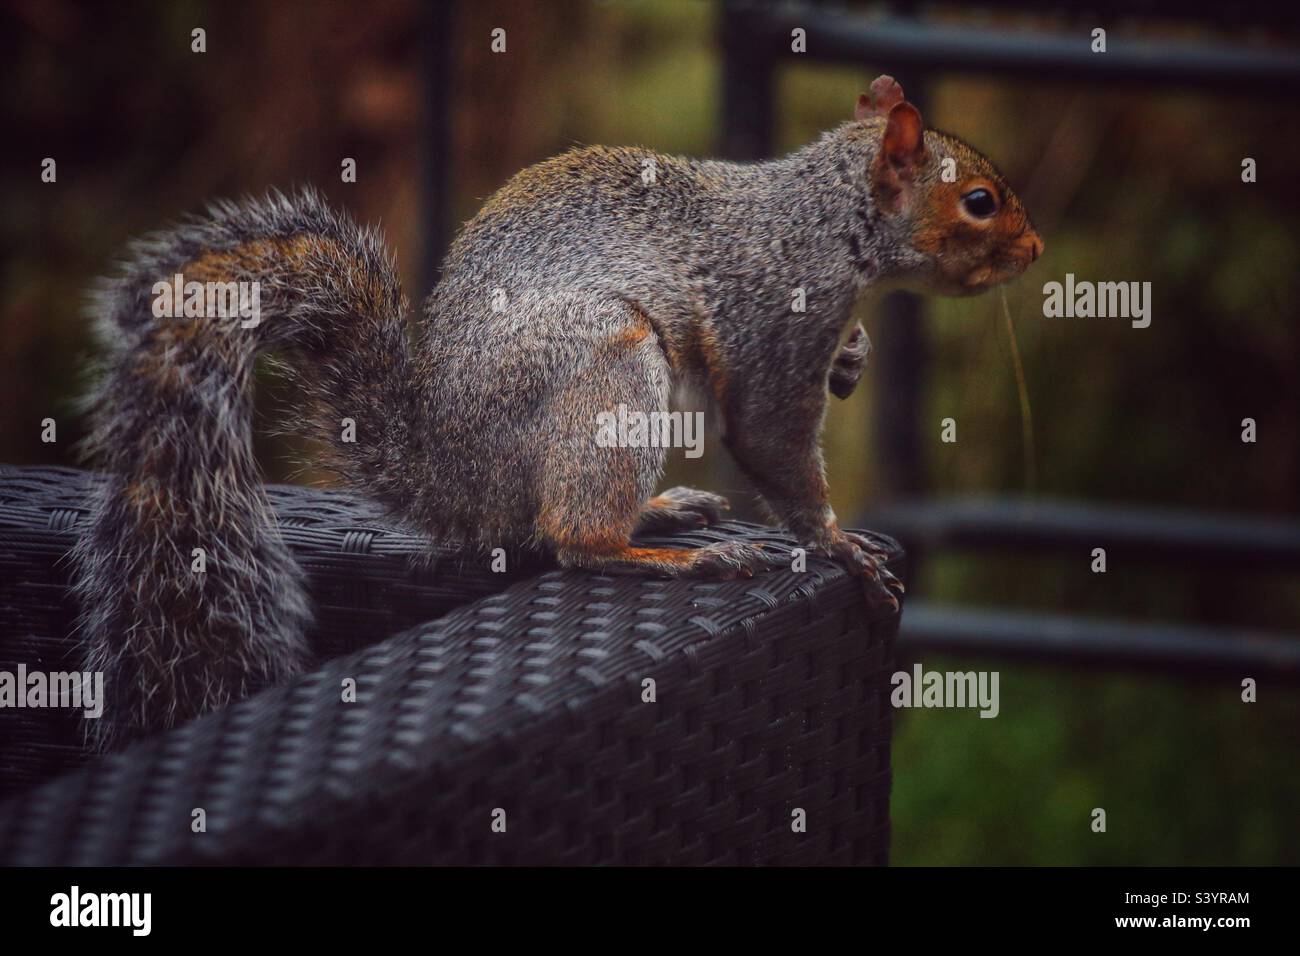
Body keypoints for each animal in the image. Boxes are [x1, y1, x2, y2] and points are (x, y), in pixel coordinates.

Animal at [72, 76, 1042, 748]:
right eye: (979, 202)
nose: (1035, 248)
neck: (824, 222)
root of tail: (448, 472)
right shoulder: (773, 324)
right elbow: (774, 444)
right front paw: (840, 547)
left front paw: (856, 358)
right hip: (608, 369)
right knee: (573, 539)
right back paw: (668, 555)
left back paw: (665, 510)